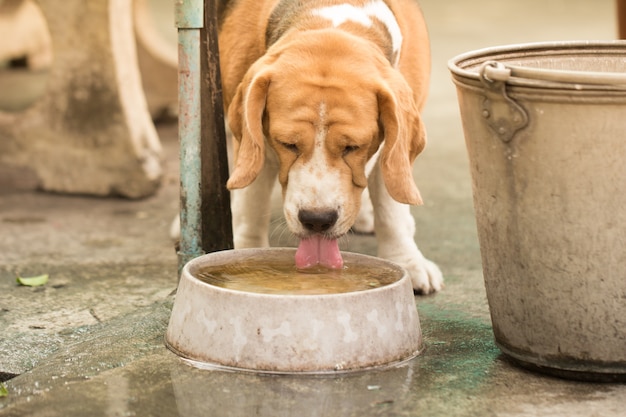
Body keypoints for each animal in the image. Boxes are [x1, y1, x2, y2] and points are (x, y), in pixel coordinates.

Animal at [217, 0, 442, 292]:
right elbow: (251, 205)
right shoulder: (254, 142)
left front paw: (407, 262)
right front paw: (245, 256)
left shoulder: (395, 144)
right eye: (287, 143)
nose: (317, 219)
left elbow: (392, 210)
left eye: (353, 147)